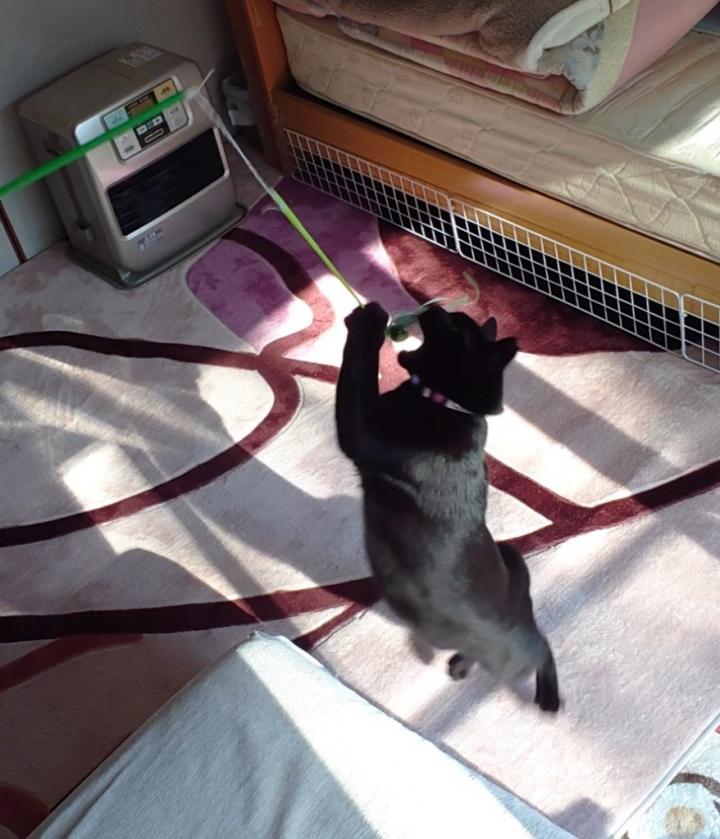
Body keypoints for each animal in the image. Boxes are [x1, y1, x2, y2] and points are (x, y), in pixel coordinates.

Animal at [335, 300, 559, 712]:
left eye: (455, 326)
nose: (437, 306)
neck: (445, 404)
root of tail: (527, 620)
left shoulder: (359, 431)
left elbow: (356, 369)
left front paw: (368, 319)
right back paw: (458, 666)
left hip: (517, 613)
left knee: (544, 649)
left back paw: (546, 697)